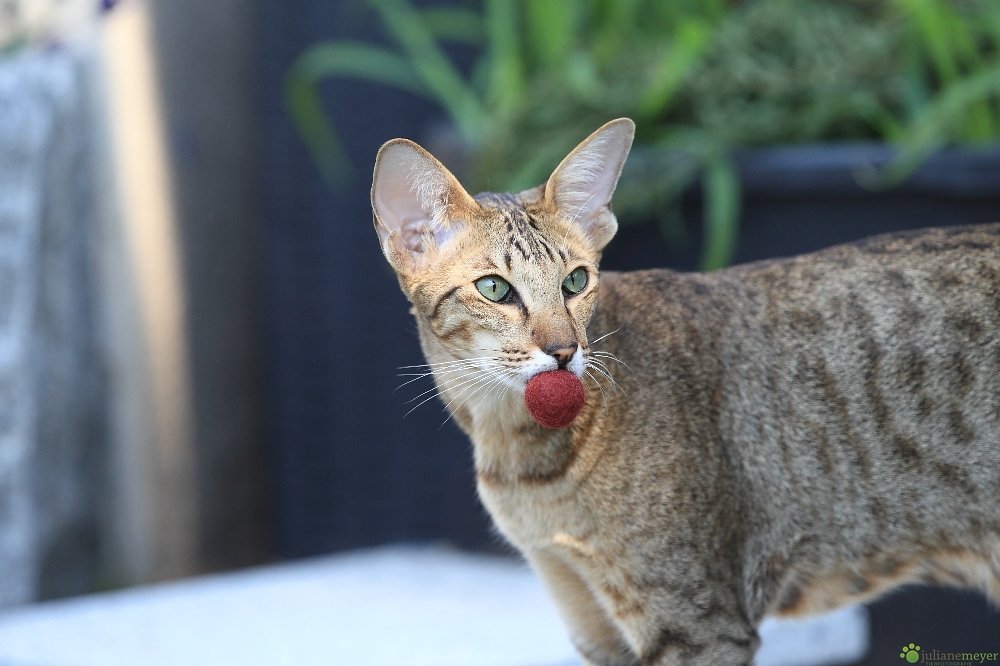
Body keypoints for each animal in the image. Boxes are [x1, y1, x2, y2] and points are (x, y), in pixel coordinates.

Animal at [370, 116, 1000, 660]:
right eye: (495, 289)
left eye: (576, 281)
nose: (565, 350)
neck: (521, 454)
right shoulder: (589, 617)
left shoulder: (698, 621)